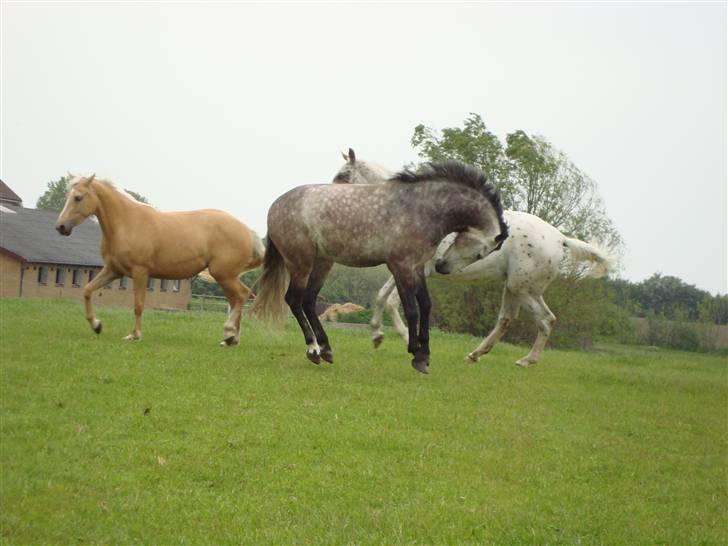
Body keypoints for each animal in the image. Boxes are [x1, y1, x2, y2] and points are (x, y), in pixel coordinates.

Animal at [56, 173, 264, 344]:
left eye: (78, 197)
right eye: (67, 197)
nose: (61, 227)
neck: (126, 223)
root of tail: (246, 230)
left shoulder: (140, 272)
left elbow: (138, 305)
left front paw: (134, 335)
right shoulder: (113, 271)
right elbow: (87, 290)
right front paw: (96, 325)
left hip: (224, 275)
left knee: (241, 296)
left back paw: (229, 334)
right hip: (226, 277)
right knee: (236, 299)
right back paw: (231, 338)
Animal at [250, 162, 506, 372]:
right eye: (481, 252)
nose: (443, 266)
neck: (423, 208)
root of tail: (276, 205)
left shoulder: (417, 267)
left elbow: (425, 305)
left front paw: (424, 353)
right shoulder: (401, 266)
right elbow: (411, 309)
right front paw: (415, 352)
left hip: (323, 262)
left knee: (308, 301)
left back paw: (326, 349)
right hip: (301, 262)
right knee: (294, 300)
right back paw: (313, 349)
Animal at [332, 149, 616, 366]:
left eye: (343, 175)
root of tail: (560, 238)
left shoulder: (414, 269)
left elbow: (389, 300)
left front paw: (397, 337)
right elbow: (384, 297)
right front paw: (380, 336)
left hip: (523, 289)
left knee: (546, 320)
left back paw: (527, 360)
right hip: (514, 287)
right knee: (506, 320)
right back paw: (475, 355)